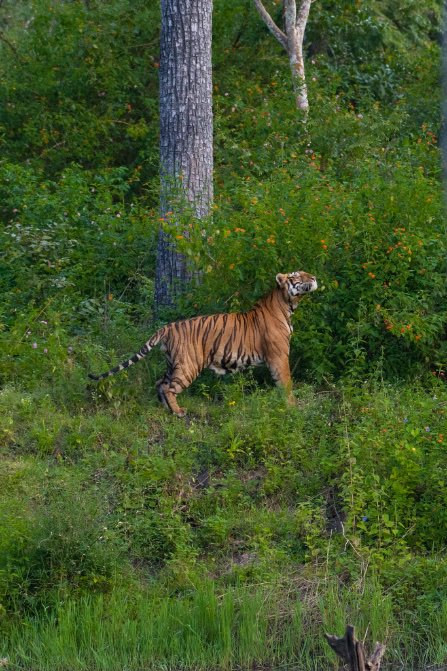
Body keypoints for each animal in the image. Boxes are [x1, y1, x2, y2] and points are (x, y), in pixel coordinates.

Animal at [88, 271, 317, 416]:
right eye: (297, 275)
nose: (314, 277)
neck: (288, 305)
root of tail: (167, 328)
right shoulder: (279, 356)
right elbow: (286, 382)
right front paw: (292, 406)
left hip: (173, 363)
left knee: (160, 383)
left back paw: (167, 409)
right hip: (188, 366)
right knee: (169, 388)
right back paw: (178, 412)